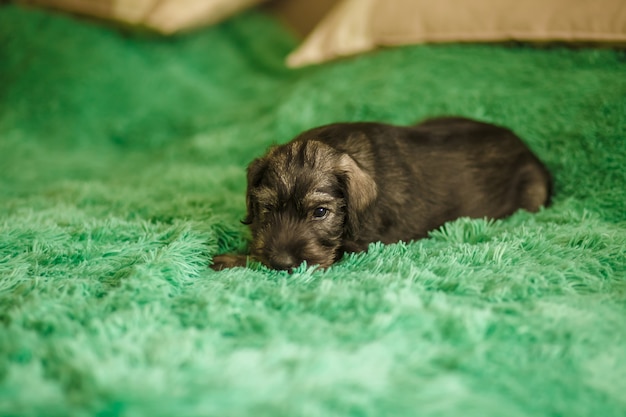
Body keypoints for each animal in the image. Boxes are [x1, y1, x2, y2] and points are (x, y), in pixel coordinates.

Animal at [211, 117, 552, 272]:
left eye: (320, 212)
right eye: (267, 208)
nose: (281, 262)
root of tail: (531, 153)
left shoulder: (355, 247)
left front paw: (234, 259)